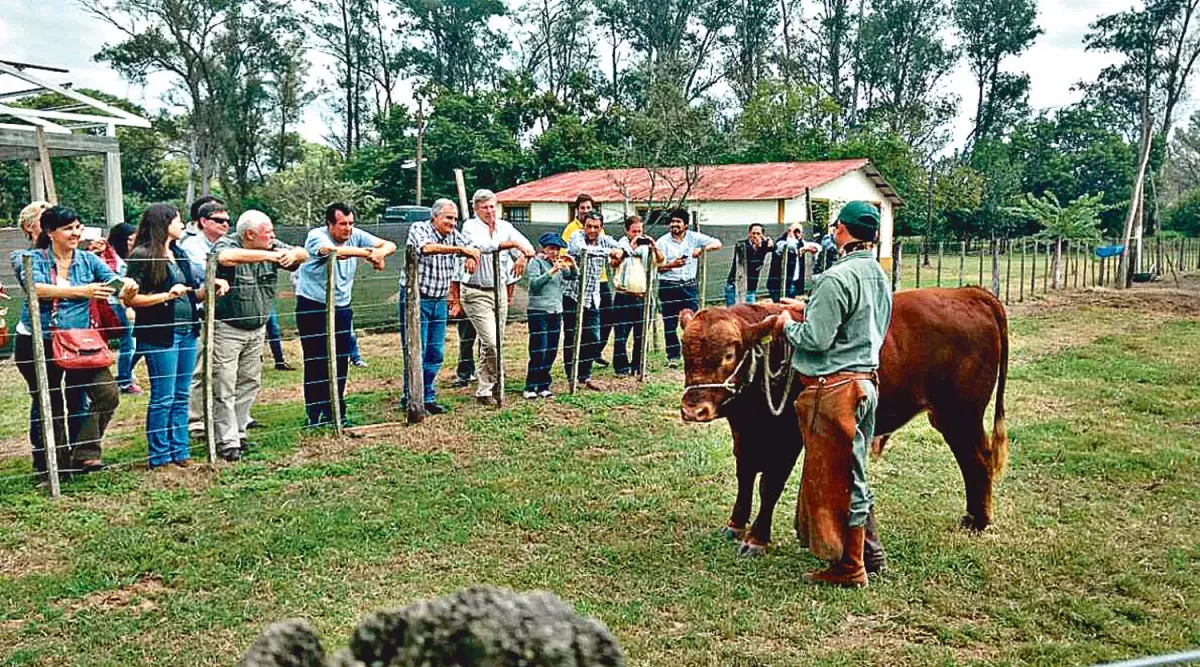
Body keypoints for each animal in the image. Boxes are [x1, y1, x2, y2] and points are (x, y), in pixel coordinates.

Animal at [681, 284, 1008, 554]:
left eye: (729, 354)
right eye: (684, 352)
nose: (693, 409)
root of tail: (969, 293)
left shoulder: (788, 439)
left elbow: (769, 484)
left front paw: (756, 539)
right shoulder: (745, 433)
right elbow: (746, 476)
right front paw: (735, 525)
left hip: (962, 415)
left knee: (978, 460)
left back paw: (978, 521)